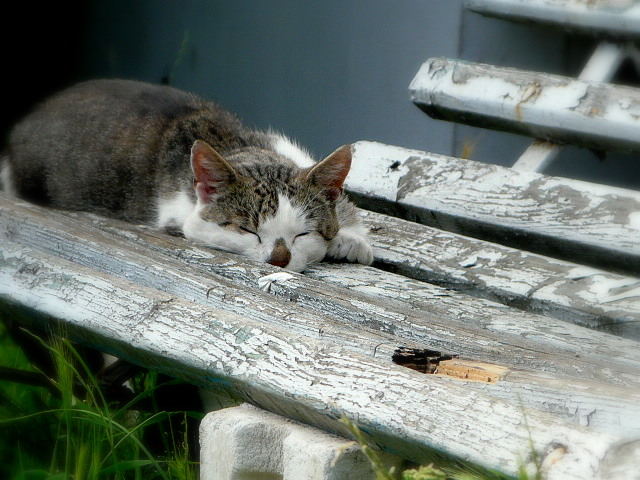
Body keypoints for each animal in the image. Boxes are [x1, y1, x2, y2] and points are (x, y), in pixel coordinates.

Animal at [2, 79, 373, 272]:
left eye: (302, 234)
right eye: (247, 231)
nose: (278, 259)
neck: (241, 144)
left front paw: (350, 239)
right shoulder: (177, 215)